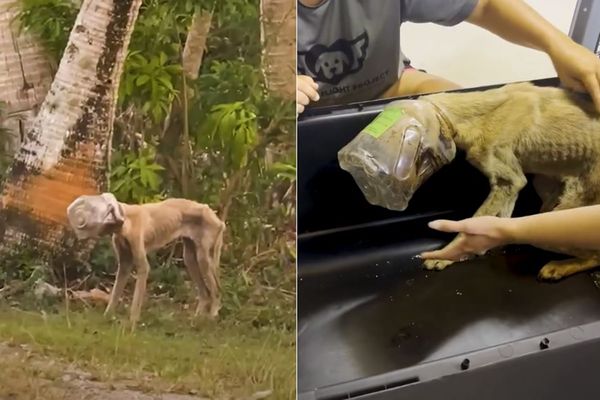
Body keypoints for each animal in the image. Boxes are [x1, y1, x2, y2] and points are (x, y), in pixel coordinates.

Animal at [66, 194, 225, 328]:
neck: (127, 217)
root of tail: (217, 219)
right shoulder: (124, 264)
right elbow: (115, 292)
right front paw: (107, 316)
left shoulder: (140, 258)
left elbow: (138, 290)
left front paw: (132, 323)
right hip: (190, 257)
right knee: (204, 292)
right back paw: (197, 319)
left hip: (204, 257)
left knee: (216, 289)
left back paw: (212, 316)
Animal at [340, 82, 600, 278]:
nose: (358, 162)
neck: (476, 116)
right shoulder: (512, 185)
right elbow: (502, 219)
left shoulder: (508, 179)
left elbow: (473, 223)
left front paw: (449, 255)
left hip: (564, 215)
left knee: (594, 255)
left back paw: (560, 266)